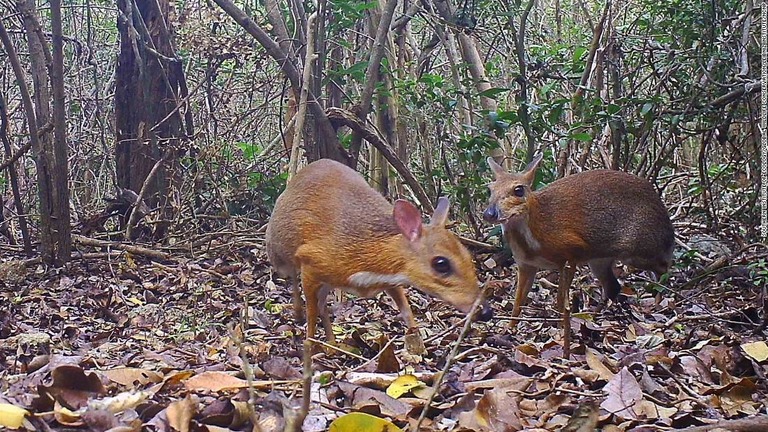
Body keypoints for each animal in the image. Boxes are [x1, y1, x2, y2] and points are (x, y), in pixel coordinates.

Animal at [484, 155, 676, 320]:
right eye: (490, 190)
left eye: (518, 190)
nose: (489, 213)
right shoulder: (525, 265)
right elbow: (517, 304)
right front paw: (510, 328)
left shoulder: (572, 252)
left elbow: (560, 300)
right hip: (600, 259)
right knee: (613, 287)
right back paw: (594, 314)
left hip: (639, 249)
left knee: (664, 268)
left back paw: (659, 303)